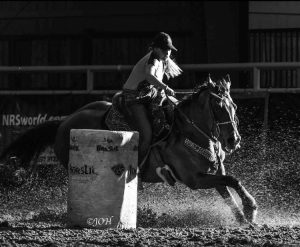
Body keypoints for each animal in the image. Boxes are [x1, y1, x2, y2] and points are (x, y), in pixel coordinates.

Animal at [0, 76, 258, 226]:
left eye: (234, 106)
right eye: (219, 106)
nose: (234, 140)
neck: (189, 131)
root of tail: (64, 121)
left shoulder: (212, 174)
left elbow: (229, 188)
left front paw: (245, 218)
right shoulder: (194, 179)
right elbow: (233, 181)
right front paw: (251, 209)